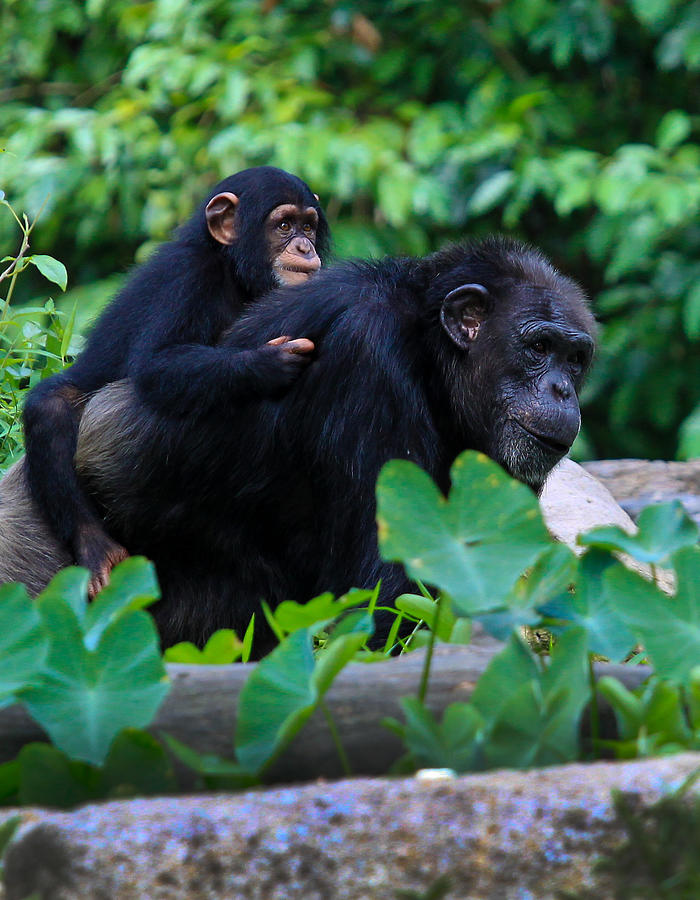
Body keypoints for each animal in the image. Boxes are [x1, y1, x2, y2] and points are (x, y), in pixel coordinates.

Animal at [2, 236, 592, 652]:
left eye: (575, 359)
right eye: (539, 347)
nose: (562, 389)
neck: (428, 356)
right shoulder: (366, 359)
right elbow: (384, 599)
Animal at [19, 163, 330, 596]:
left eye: (308, 226)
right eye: (284, 225)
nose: (304, 247)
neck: (232, 270)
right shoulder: (186, 280)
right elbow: (158, 365)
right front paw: (269, 361)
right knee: (51, 406)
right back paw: (96, 548)